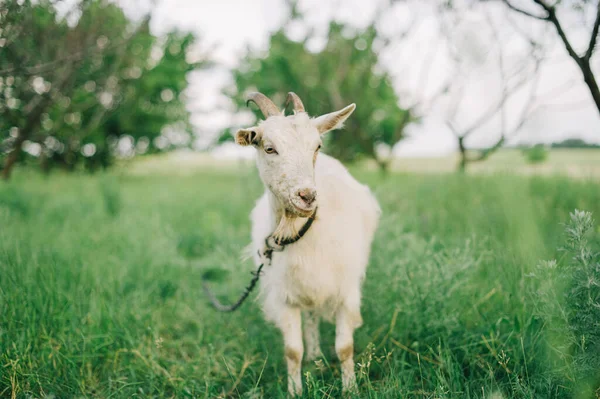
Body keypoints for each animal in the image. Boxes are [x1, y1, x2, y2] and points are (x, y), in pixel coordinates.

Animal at [234, 92, 380, 396]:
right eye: (269, 148)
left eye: (317, 146)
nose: (307, 196)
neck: (300, 231)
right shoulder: (285, 295)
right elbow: (292, 351)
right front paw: (295, 391)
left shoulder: (346, 289)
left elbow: (345, 347)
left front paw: (350, 389)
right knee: (311, 317)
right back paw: (314, 356)